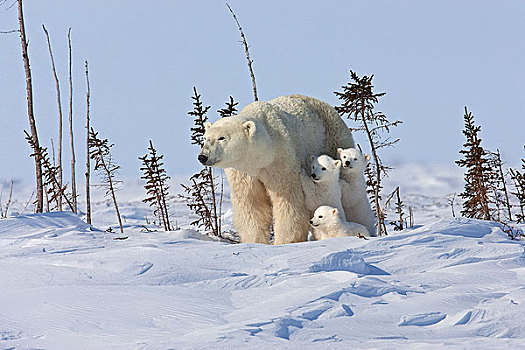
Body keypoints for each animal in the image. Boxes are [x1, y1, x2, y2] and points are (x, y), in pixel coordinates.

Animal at [199, 94, 354, 245]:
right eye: (205, 138)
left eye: (222, 137)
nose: (203, 157)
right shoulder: (243, 173)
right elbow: (251, 203)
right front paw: (254, 241)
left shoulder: (280, 161)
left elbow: (288, 200)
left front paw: (284, 241)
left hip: (333, 140)